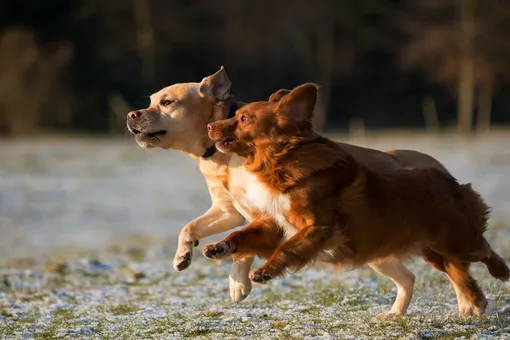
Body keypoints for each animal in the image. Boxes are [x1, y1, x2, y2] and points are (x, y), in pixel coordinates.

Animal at [127, 66, 454, 314]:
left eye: (167, 102)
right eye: (151, 100)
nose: (132, 114)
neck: (220, 157)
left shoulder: (262, 213)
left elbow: (244, 250)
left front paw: (238, 284)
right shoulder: (227, 210)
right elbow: (190, 227)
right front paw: (182, 255)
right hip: (373, 250)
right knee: (408, 278)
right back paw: (394, 314)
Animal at [204, 83, 510, 318]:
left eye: (244, 119)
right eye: (236, 115)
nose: (209, 125)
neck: (280, 163)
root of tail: (448, 179)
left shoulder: (319, 227)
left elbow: (288, 248)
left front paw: (265, 271)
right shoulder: (274, 225)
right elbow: (242, 235)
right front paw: (219, 247)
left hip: (454, 242)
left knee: (483, 251)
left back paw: (500, 274)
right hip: (428, 252)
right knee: (449, 275)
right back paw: (463, 305)